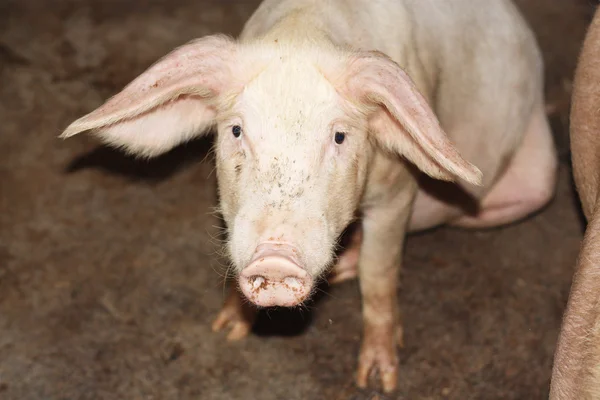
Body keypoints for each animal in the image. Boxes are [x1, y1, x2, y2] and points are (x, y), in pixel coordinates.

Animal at [59, 0, 556, 394]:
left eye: (338, 136)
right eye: (236, 130)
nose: (276, 259)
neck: (304, 31)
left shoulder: (398, 193)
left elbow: (380, 274)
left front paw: (378, 380)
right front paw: (227, 330)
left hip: (540, 182)